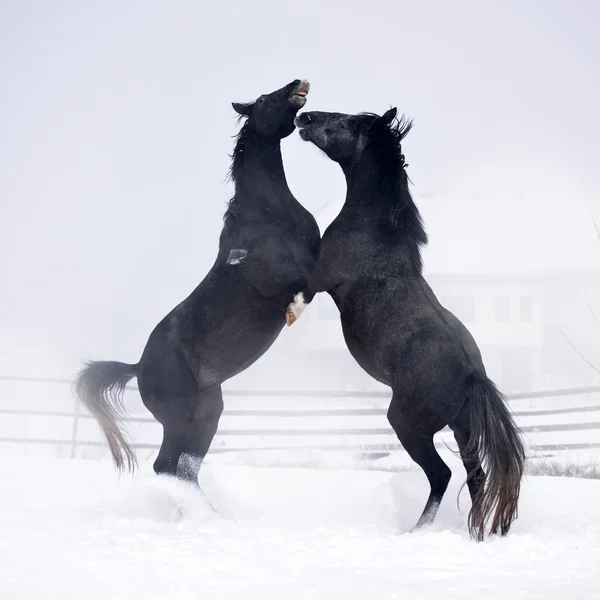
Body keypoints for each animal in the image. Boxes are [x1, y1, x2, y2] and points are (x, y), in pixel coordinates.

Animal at [74, 79, 324, 490]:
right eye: (262, 99)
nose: (297, 84)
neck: (267, 215)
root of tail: (137, 367)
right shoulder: (285, 277)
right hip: (181, 416)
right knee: (167, 465)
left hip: (207, 414)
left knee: (183, 467)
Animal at [288, 108, 528, 544]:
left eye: (345, 122)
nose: (304, 116)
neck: (372, 232)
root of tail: (472, 373)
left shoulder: (318, 275)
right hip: (462, 428)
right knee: (475, 474)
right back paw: (473, 530)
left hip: (408, 425)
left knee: (442, 474)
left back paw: (418, 530)